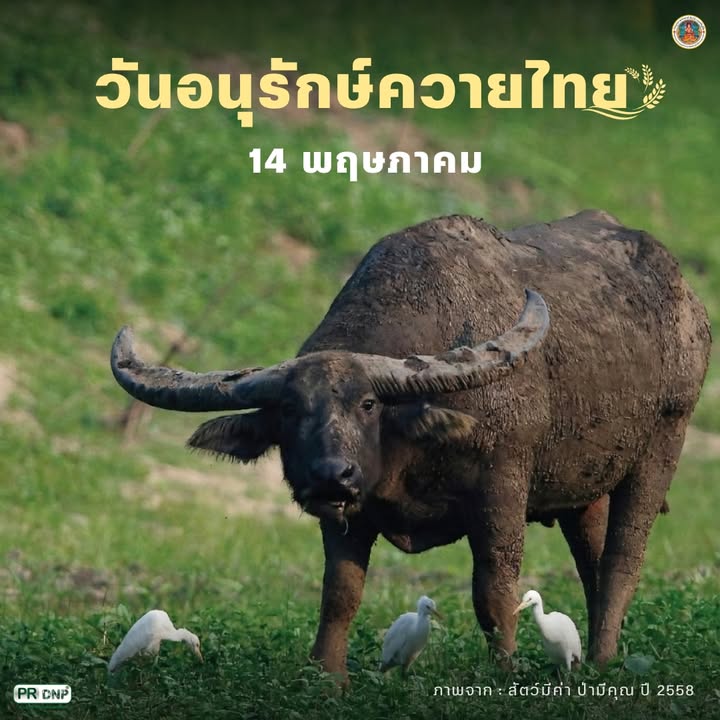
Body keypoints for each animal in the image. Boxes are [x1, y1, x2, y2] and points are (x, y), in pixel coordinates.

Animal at [111, 210, 711, 681]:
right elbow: (340, 595)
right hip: (583, 486)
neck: (405, 445)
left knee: (623, 560)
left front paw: (505, 670)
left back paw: (604, 659)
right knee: (592, 558)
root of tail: (689, 304)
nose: (332, 476)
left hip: (663, 443)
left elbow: (494, 592)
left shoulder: (501, 489)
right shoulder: (348, 516)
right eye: (290, 410)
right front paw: (328, 677)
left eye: (367, 404)